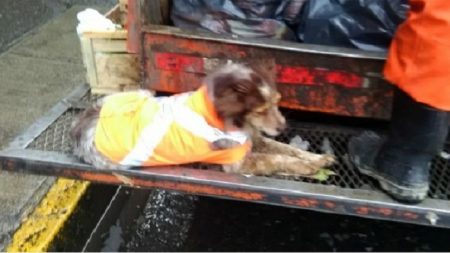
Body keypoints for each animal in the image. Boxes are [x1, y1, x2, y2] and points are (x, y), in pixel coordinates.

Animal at [70, 62, 334, 177]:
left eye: (277, 102)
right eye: (260, 110)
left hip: (141, 94)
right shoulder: (237, 163)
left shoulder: (255, 139)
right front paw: (309, 166)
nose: (282, 126)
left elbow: (286, 149)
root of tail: (79, 126)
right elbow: (279, 158)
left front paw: (318, 158)